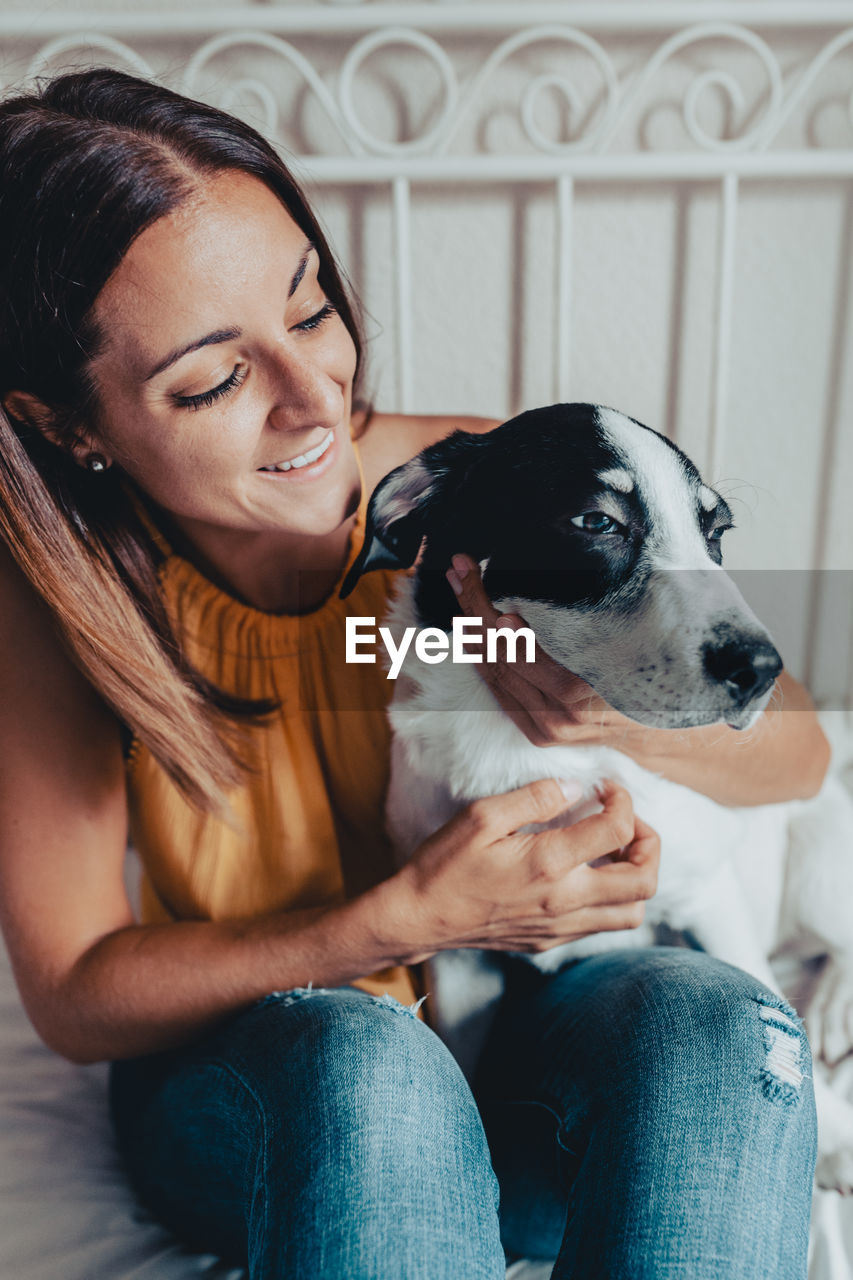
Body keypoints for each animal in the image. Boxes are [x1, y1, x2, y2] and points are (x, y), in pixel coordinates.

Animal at [340, 401, 853, 1187]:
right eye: (595, 522)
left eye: (716, 533)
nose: (764, 670)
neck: (530, 752)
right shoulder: (460, 958)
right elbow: (466, 1064)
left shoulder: (710, 898)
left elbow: (760, 988)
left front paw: (833, 1135)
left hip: (819, 864)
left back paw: (827, 1012)